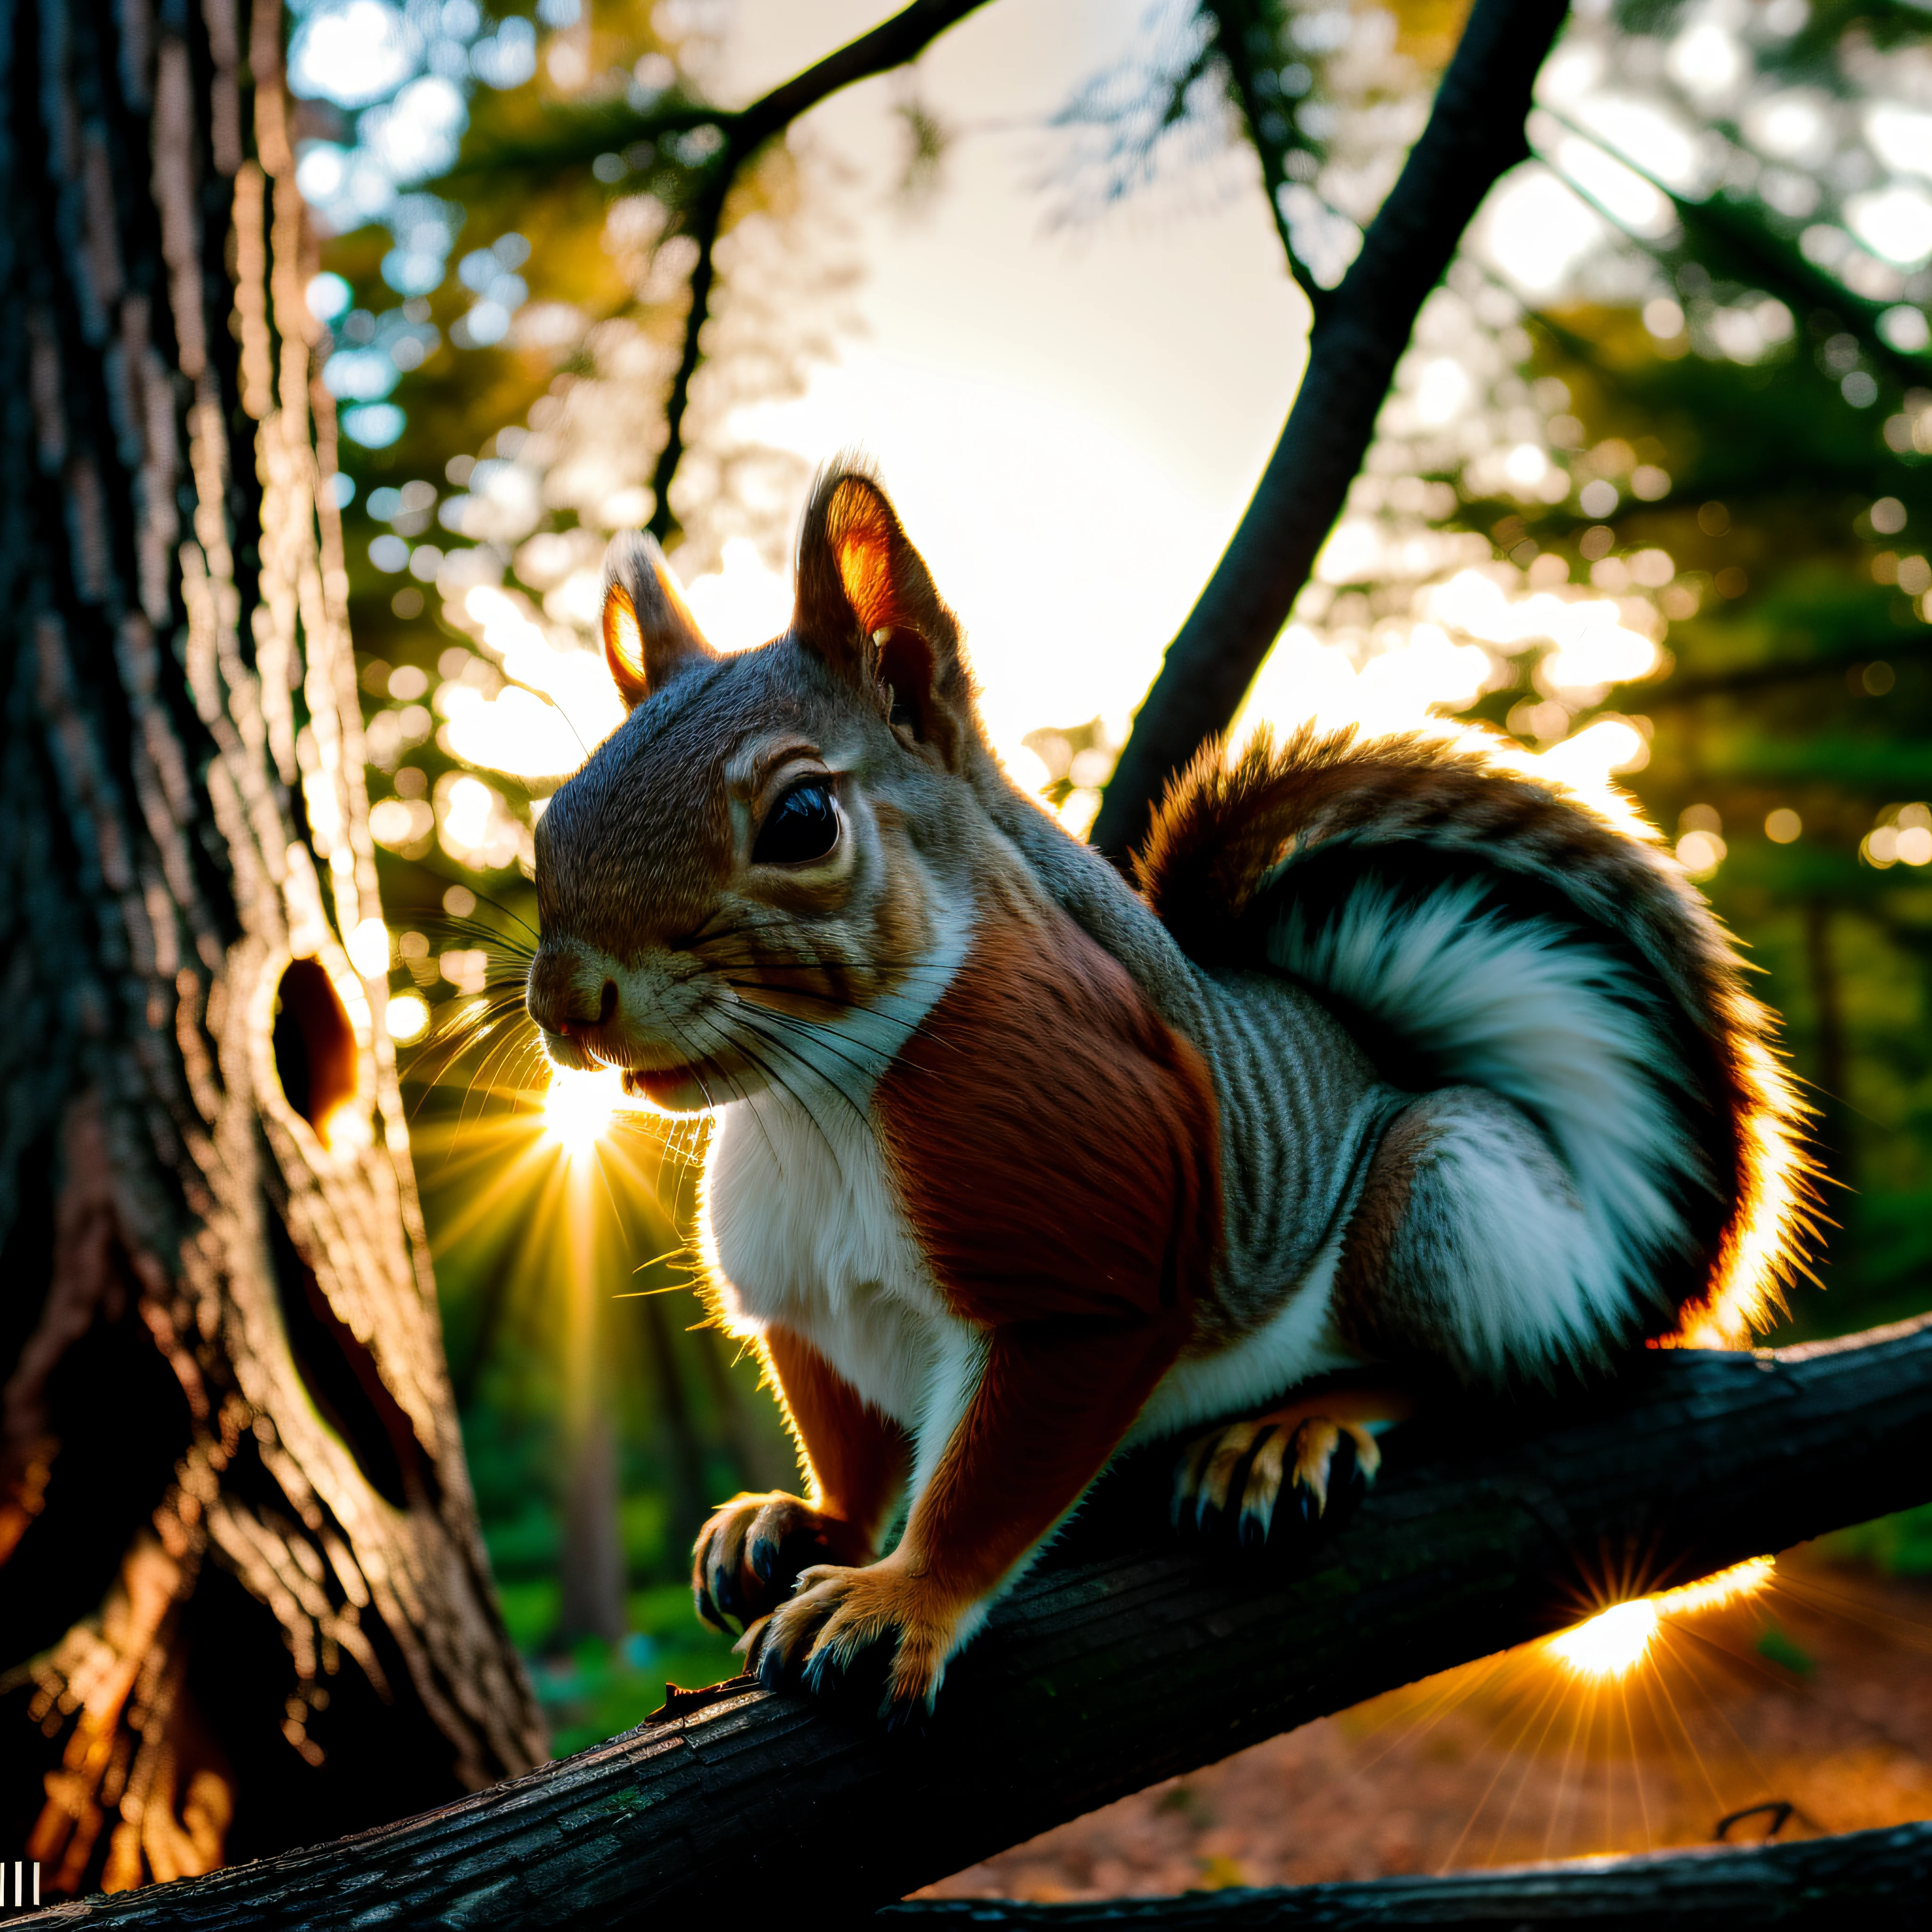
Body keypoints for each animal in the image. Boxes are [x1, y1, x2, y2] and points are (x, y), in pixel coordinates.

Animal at [529, 464, 1808, 1723]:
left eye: (802, 820)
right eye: (550, 814)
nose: (565, 1000)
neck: (816, 1101)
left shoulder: (1090, 1229)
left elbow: (998, 1473)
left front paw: (902, 1595)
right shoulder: (805, 1302)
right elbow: (846, 1443)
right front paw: (800, 1523)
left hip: (1447, 1192)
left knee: (1460, 1376)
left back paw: (1293, 1430)